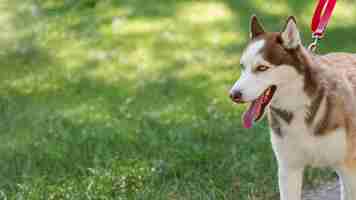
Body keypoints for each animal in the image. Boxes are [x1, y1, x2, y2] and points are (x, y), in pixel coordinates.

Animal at [229, 16, 356, 200]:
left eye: (262, 68)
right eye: (242, 66)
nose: (233, 95)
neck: (298, 107)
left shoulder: (348, 169)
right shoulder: (288, 170)